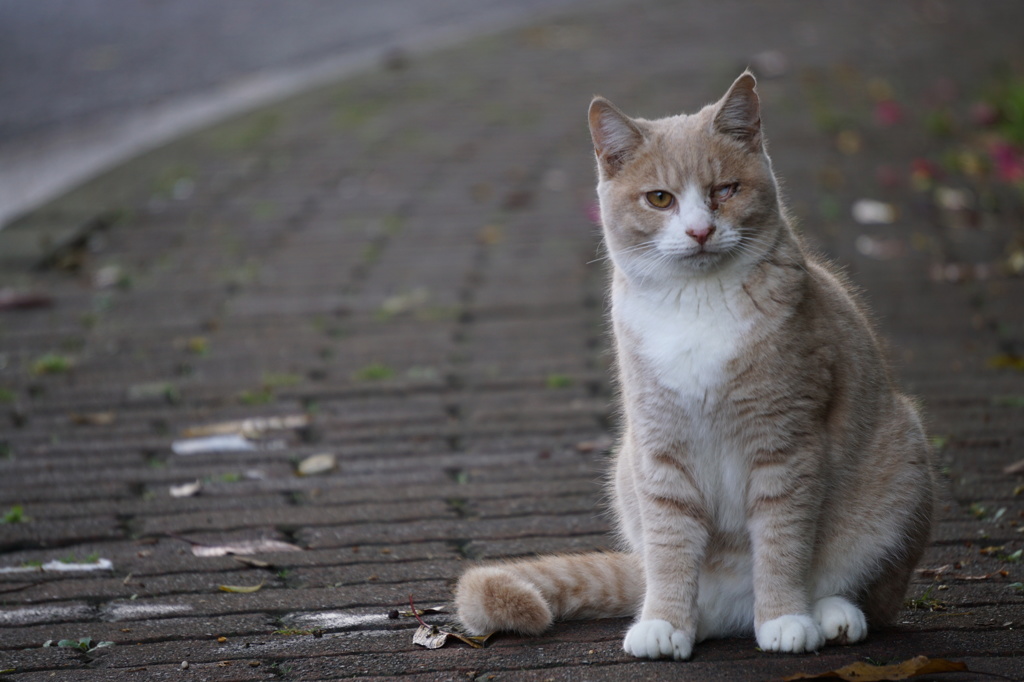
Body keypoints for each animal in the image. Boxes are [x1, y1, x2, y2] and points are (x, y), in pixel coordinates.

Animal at [454, 70, 937, 659]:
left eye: (724, 190)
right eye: (659, 199)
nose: (700, 231)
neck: (697, 305)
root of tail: (734, 611)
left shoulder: (784, 446)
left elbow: (782, 542)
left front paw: (784, 617)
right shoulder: (660, 450)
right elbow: (669, 549)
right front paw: (666, 622)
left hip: (902, 456)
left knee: (869, 593)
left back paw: (829, 614)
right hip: (627, 470)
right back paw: (691, 616)